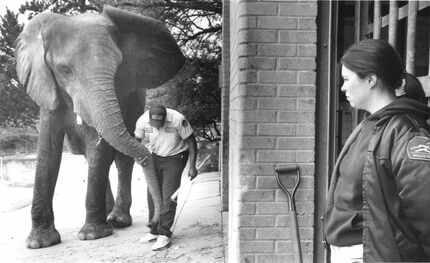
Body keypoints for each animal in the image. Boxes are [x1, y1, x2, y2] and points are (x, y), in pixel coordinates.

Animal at [15, 5, 185, 250]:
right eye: (64, 70)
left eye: (118, 69)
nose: (153, 224)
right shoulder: (47, 88)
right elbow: (48, 151)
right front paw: (40, 243)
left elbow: (99, 147)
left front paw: (92, 236)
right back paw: (108, 217)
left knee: (121, 160)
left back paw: (117, 220)